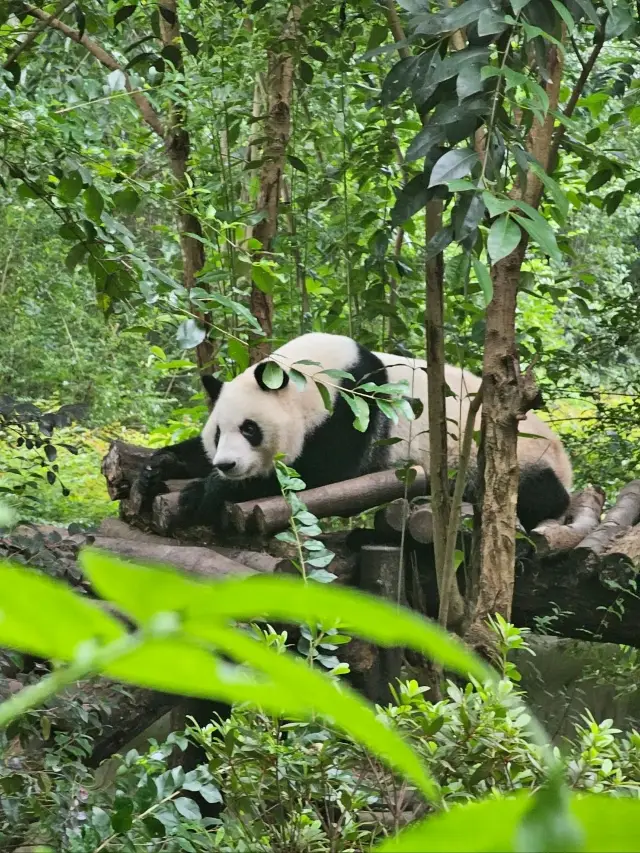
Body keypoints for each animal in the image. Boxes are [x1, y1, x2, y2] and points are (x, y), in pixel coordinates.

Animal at [136, 332, 572, 533]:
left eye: (249, 429)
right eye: (217, 433)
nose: (227, 465)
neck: (311, 376)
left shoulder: (353, 411)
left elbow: (317, 475)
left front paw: (205, 492)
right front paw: (159, 467)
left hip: (517, 458)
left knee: (536, 492)